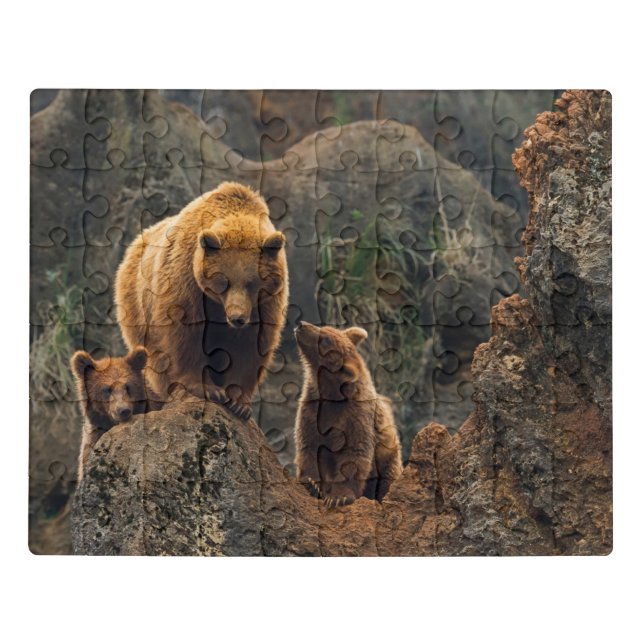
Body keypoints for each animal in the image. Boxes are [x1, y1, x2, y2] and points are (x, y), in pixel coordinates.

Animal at [114, 182, 289, 421]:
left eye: (252, 283)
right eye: (223, 282)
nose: (237, 318)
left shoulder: (265, 303)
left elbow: (251, 345)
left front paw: (238, 402)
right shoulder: (187, 281)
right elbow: (185, 334)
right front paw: (208, 389)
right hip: (138, 308)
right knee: (157, 356)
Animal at [294, 321, 403, 508]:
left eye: (325, 340)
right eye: (324, 327)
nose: (301, 325)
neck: (331, 394)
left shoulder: (356, 417)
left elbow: (354, 455)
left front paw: (339, 497)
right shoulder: (311, 411)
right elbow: (308, 447)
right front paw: (311, 483)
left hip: (389, 457)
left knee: (388, 479)